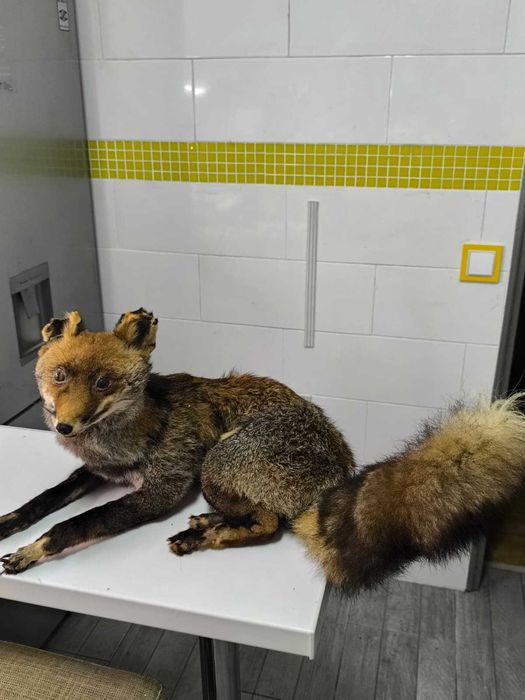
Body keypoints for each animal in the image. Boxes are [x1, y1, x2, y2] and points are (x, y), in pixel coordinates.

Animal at [1, 307, 525, 592]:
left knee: (272, 523)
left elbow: (75, 523)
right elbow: (45, 500)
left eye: (104, 383)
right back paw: (209, 525)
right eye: (60, 376)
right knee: (260, 515)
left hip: (215, 464)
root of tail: (336, 474)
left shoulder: (160, 491)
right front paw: (11, 523)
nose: (65, 426)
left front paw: (33, 549)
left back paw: (209, 535)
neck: (127, 437)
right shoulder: (100, 472)